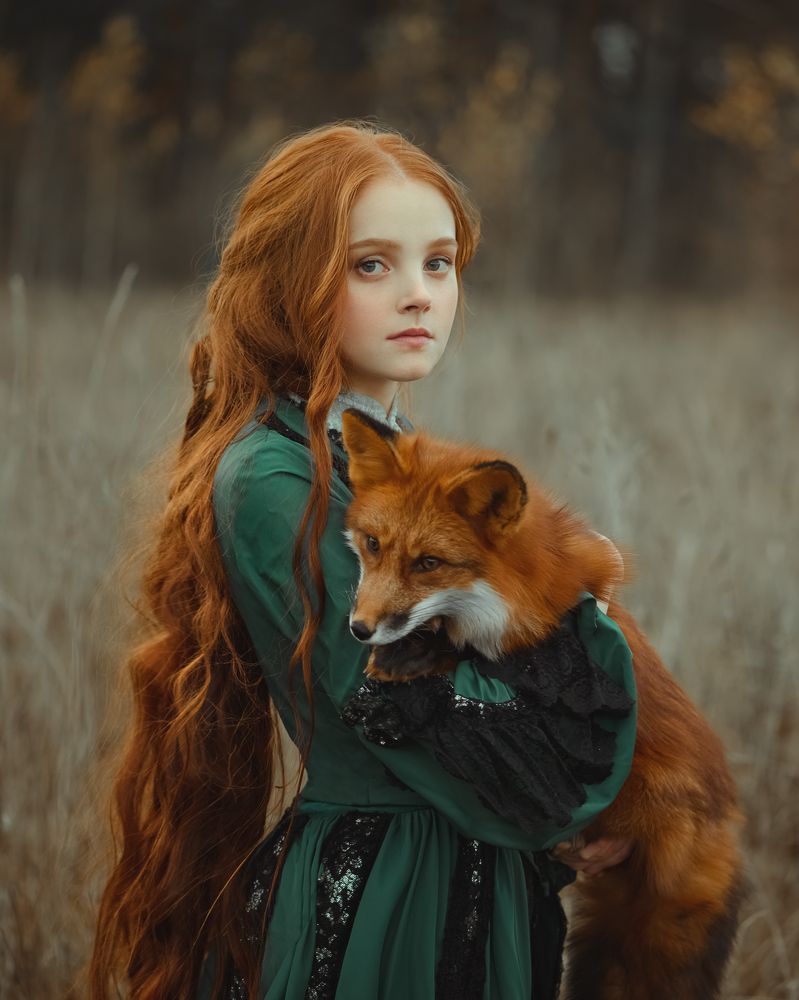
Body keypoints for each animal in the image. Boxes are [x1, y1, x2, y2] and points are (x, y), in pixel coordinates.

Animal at [338, 407, 745, 1000]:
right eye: (372, 544)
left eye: (429, 563)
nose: (359, 628)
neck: (508, 590)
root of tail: (725, 816)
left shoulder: (569, 608)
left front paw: (418, 651)